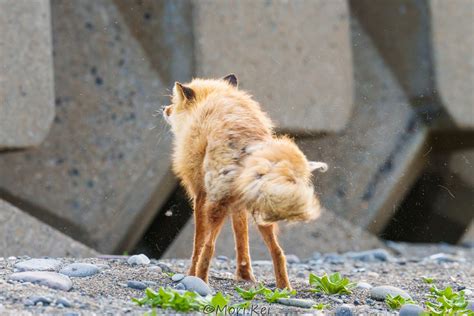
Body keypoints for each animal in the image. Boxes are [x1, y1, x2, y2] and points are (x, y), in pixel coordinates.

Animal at [163, 74, 326, 288]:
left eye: (174, 103)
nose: (165, 109)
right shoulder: (238, 203)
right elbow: (242, 240)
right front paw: (245, 275)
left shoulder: (200, 194)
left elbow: (198, 243)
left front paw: (190, 273)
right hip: (261, 207)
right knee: (278, 251)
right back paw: (284, 288)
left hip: (217, 202)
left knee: (209, 246)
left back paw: (199, 280)